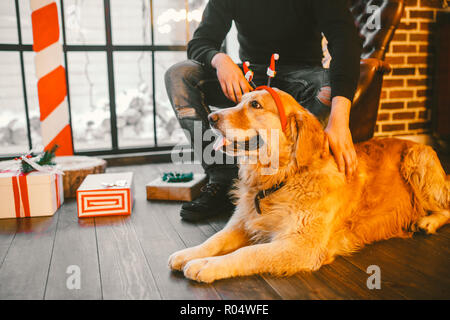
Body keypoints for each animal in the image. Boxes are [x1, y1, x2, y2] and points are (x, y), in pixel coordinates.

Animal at [167, 87, 448, 282]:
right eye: (239, 100)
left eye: (255, 105)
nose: (211, 117)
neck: (281, 180)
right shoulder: (243, 222)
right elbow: (214, 240)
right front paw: (189, 253)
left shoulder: (301, 246)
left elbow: (247, 253)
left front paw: (207, 265)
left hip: (417, 162)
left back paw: (427, 222)